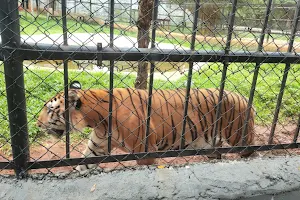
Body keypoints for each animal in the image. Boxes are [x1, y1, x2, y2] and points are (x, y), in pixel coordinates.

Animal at [35, 80, 255, 171]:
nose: (37, 124)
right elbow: (83, 165)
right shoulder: (97, 148)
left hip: (240, 136)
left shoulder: (145, 151)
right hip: (209, 144)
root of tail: (243, 97)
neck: (98, 121)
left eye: (49, 109)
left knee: (250, 152)